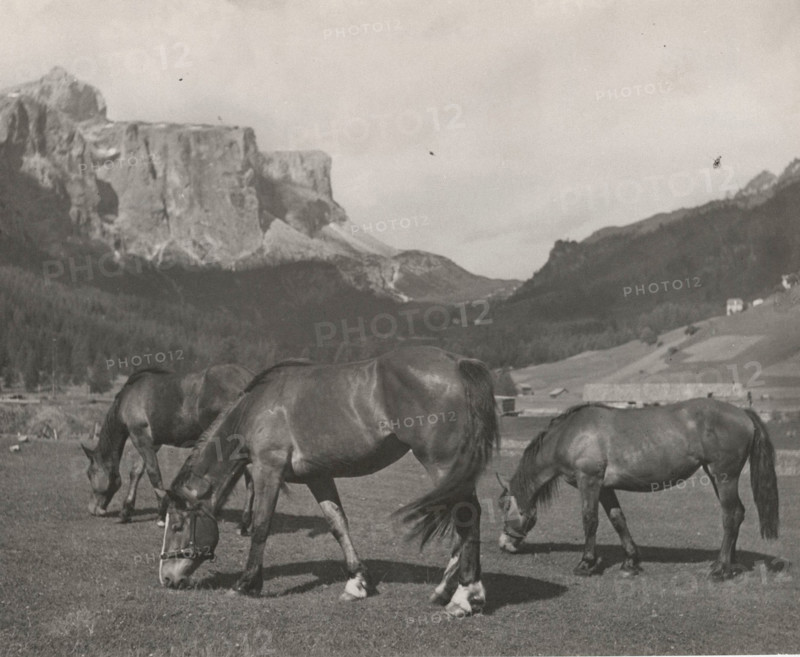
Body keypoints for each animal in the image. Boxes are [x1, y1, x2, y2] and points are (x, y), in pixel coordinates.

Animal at [81, 364, 255, 527]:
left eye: (90, 474)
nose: (92, 509)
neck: (129, 398)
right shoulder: (152, 442)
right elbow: (136, 472)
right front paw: (126, 511)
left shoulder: (140, 437)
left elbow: (153, 473)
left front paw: (161, 514)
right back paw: (244, 521)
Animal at [157, 346, 499, 617]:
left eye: (177, 526)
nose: (166, 579)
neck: (257, 408)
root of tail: (457, 363)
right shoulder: (318, 477)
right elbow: (338, 525)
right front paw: (356, 582)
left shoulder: (268, 471)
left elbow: (261, 527)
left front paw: (246, 583)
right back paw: (445, 589)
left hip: (442, 464)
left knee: (467, 516)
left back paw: (465, 596)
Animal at [497, 399, 779, 581]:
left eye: (503, 505)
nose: (504, 544)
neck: (571, 434)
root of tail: (742, 413)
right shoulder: (604, 488)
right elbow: (617, 520)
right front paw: (630, 561)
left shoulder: (589, 481)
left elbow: (590, 520)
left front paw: (586, 563)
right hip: (715, 476)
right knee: (738, 513)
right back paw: (730, 563)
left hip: (724, 476)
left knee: (731, 516)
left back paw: (720, 568)